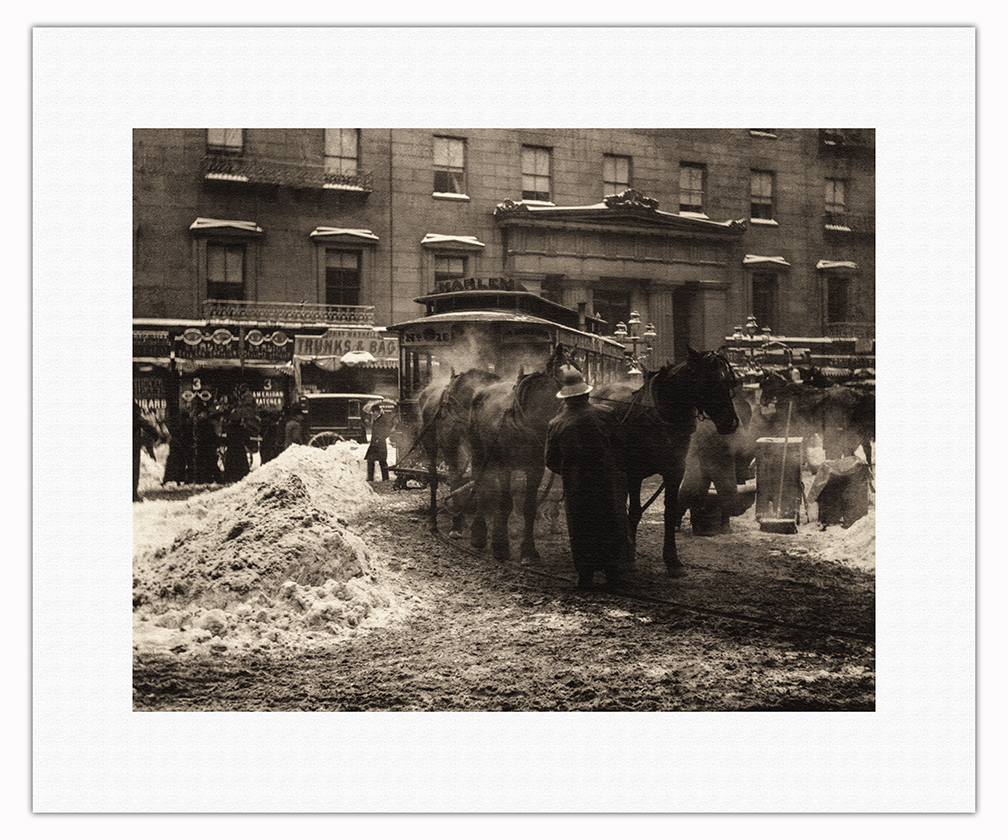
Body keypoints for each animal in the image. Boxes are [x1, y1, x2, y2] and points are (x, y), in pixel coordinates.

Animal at [588, 346, 741, 576]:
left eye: (729, 382)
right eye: (710, 382)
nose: (731, 423)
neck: (662, 417)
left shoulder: (674, 472)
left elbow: (669, 511)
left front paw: (673, 560)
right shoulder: (635, 473)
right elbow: (635, 511)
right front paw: (630, 556)